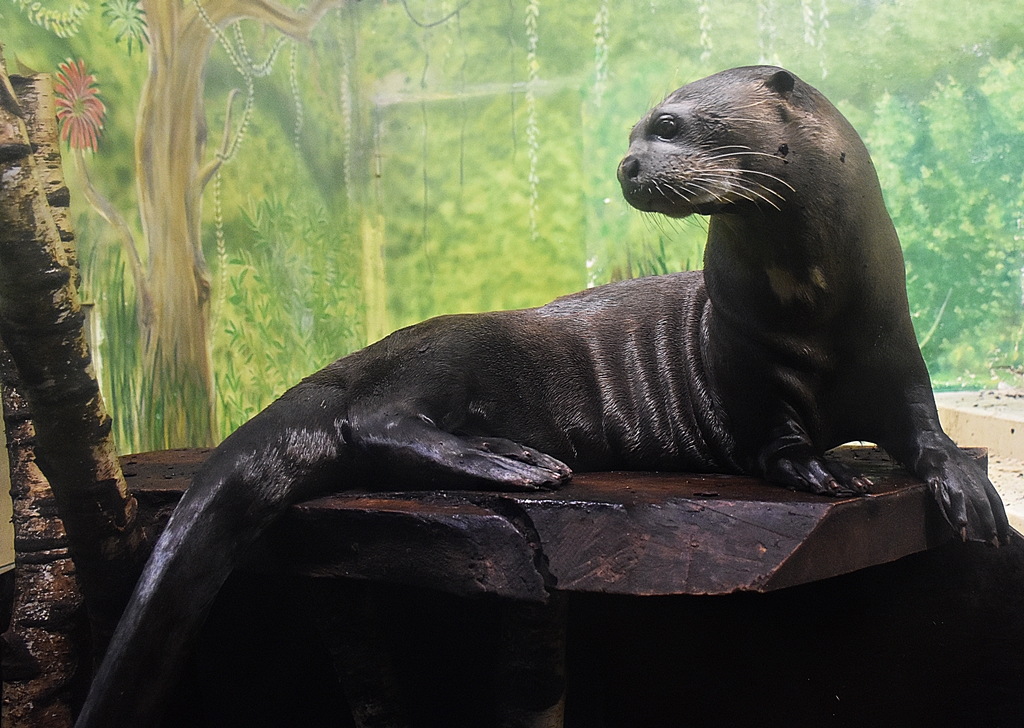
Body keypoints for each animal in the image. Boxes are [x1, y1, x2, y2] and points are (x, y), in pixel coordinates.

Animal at [75, 66, 1008, 728]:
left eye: (669, 125)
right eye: (633, 131)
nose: (628, 164)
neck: (813, 309)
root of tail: (358, 353)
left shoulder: (895, 355)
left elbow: (926, 431)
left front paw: (973, 493)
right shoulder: (747, 370)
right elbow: (773, 442)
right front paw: (824, 474)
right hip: (450, 351)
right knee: (374, 420)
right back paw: (516, 464)